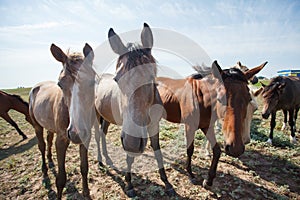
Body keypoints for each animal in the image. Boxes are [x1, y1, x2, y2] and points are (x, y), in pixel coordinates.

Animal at [28, 43, 94, 198]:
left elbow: (84, 168)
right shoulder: (62, 140)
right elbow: (61, 179)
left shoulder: (86, 138)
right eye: (60, 84)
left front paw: (86, 192)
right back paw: (45, 171)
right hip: (37, 126)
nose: (76, 133)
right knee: (42, 145)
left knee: (49, 140)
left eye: (93, 82)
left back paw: (51, 161)